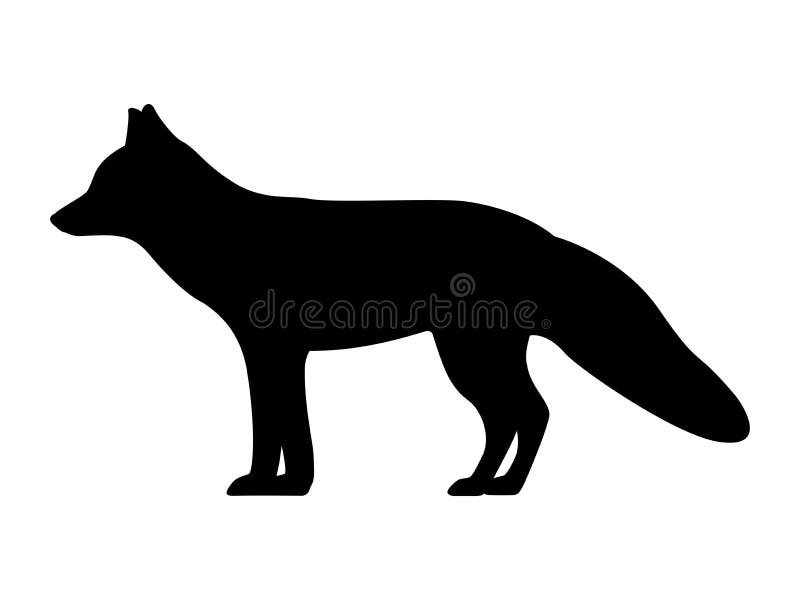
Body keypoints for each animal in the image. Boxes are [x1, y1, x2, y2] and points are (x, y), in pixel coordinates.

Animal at [51, 105, 749, 496]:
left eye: (102, 184)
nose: (55, 217)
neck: (226, 232)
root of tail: (541, 236)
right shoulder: (281, 358)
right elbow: (287, 429)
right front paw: (290, 487)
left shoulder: (272, 354)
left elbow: (276, 429)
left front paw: (271, 487)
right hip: (474, 359)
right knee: (524, 416)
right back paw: (489, 486)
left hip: (468, 360)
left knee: (528, 414)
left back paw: (495, 488)